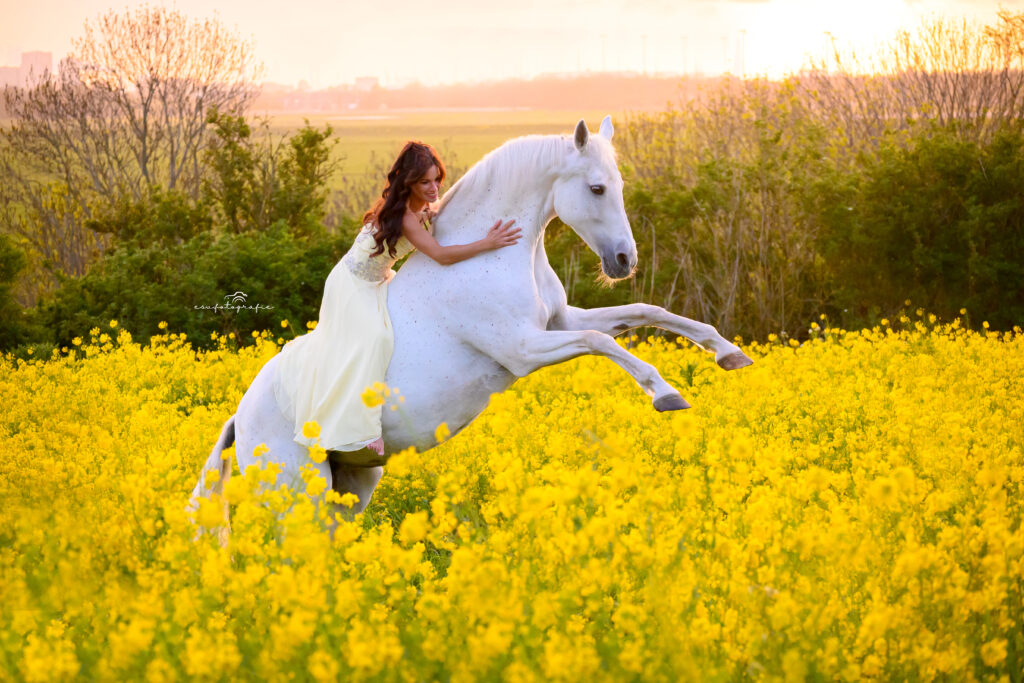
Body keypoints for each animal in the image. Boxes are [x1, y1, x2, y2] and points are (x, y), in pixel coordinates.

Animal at [190, 117, 752, 524]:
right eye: (596, 189)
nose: (624, 261)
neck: (490, 255)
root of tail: (240, 417)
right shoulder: (523, 348)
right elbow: (602, 341)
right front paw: (666, 394)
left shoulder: (557, 322)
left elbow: (643, 313)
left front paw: (728, 353)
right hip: (296, 496)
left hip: (350, 487)